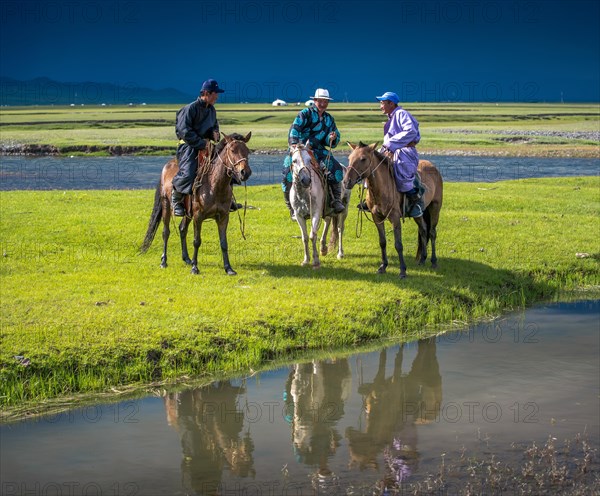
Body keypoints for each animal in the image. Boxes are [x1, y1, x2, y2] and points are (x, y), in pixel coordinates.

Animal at [141, 132, 251, 276]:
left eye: (247, 151)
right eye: (232, 150)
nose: (245, 172)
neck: (214, 184)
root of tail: (167, 166)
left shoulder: (223, 217)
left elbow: (223, 243)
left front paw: (228, 268)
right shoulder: (198, 216)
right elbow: (197, 241)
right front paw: (195, 268)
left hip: (187, 213)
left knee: (182, 229)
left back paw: (187, 259)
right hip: (166, 205)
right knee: (166, 232)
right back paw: (164, 261)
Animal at [342, 141, 440, 278]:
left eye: (363, 159)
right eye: (349, 158)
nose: (346, 182)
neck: (381, 188)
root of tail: (433, 167)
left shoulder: (394, 217)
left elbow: (398, 244)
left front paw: (403, 270)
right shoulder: (376, 217)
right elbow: (382, 242)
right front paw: (383, 266)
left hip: (435, 207)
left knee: (432, 232)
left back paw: (434, 261)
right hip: (419, 213)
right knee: (423, 230)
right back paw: (422, 259)